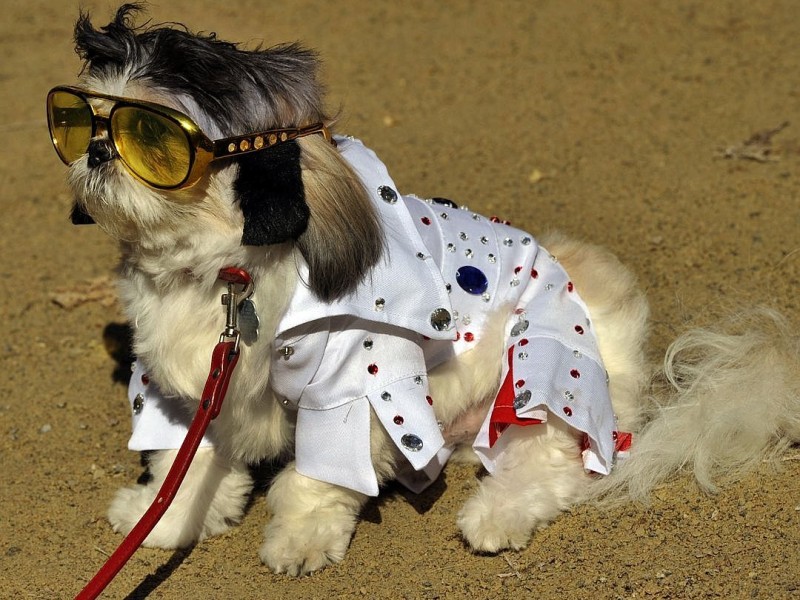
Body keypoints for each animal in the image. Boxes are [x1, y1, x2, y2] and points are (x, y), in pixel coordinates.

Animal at [51, 4, 800, 576]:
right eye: (79, 122)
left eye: (153, 139)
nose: (97, 150)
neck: (226, 277)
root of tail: (601, 279)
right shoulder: (186, 389)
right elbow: (183, 462)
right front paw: (164, 520)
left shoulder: (351, 394)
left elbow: (314, 481)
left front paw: (300, 540)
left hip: (542, 368)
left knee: (553, 463)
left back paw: (495, 515)